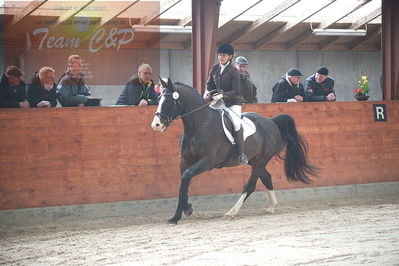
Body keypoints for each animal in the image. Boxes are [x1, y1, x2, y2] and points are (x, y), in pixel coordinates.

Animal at [152, 78, 318, 223]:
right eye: (158, 99)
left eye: (168, 101)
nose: (156, 125)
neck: (199, 126)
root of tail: (271, 122)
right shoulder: (185, 161)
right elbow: (183, 184)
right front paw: (176, 216)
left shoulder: (207, 162)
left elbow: (186, 177)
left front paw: (187, 209)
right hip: (254, 161)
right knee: (267, 178)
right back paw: (271, 207)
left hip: (262, 160)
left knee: (250, 185)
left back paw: (231, 212)